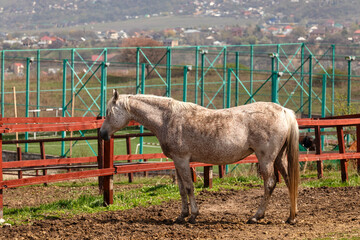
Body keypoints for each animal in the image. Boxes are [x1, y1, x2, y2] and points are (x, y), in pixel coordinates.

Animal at [100, 89, 300, 223]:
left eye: (109, 113)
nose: (102, 134)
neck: (167, 118)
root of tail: (284, 111)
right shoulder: (177, 162)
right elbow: (181, 189)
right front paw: (182, 215)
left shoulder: (182, 160)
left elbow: (189, 187)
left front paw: (193, 215)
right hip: (279, 158)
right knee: (289, 180)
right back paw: (291, 216)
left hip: (266, 159)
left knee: (270, 184)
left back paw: (256, 216)